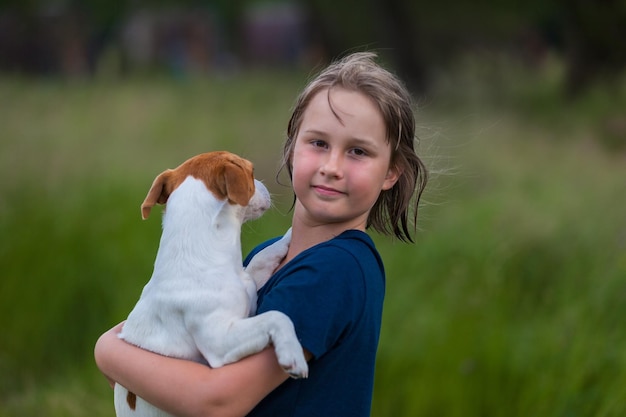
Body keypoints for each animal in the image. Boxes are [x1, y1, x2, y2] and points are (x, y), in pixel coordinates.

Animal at [114, 151, 308, 416]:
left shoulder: (248, 288)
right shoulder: (218, 341)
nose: (263, 185)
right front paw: (293, 353)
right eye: (252, 171)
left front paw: (287, 237)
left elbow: (260, 259)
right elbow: (277, 316)